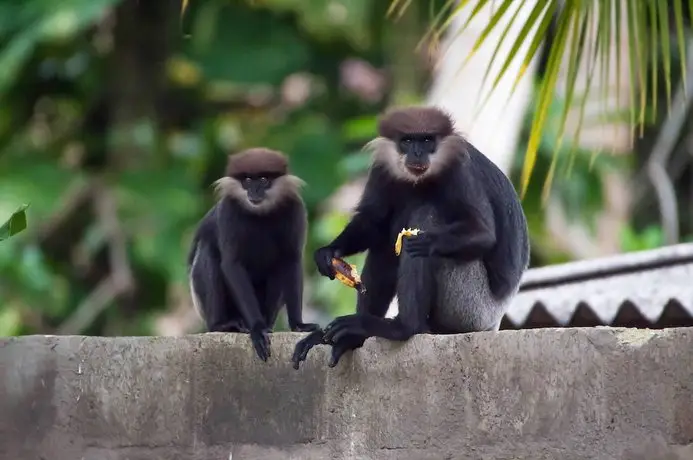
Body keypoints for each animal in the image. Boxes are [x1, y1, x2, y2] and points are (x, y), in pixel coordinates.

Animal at [188, 147, 320, 362]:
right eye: (248, 180)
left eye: (264, 179)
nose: (254, 191)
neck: (260, 213)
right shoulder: (229, 210)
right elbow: (232, 264)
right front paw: (257, 329)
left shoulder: (295, 207)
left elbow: (291, 260)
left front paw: (298, 325)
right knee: (209, 253)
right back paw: (224, 324)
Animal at [292, 106, 528, 368]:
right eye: (407, 141)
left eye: (426, 140)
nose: (417, 153)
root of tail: (496, 318)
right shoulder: (383, 167)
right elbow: (374, 222)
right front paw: (330, 253)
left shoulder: (460, 170)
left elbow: (482, 233)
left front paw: (425, 241)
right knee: (385, 242)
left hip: (471, 308)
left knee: (425, 216)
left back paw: (402, 327)